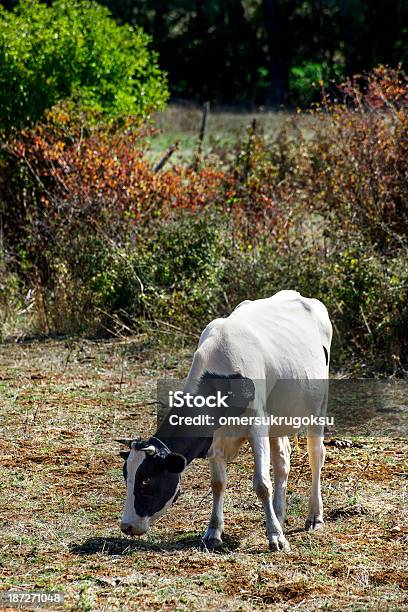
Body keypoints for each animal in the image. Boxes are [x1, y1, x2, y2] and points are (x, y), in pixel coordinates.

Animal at [115, 290, 332, 552]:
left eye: (146, 481)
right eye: (126, 476)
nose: (126, 526)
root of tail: (298, 295)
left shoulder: (257, 424)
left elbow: (262, 484)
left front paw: (276, 538)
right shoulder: (214, 436)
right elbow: (218, 483)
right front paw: (213, 532)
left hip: (318, 405)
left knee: (316, 456)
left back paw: (314, 516)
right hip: (279, 416)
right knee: (282, 460)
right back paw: (279, 516)